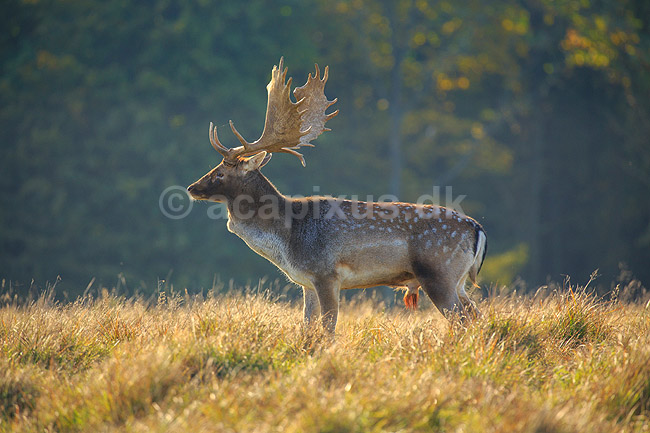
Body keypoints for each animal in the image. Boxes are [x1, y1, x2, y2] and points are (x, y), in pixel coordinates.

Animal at [187, 58, 487, 334]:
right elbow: (307, 328)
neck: (288, 237)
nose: (191, 188)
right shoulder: (306, 282)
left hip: (439, 272)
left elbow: (328, 328)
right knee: (476, 317)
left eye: (220, 174)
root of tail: (478, 229)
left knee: (461, 321)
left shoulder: (326, 274)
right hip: (459, 281)